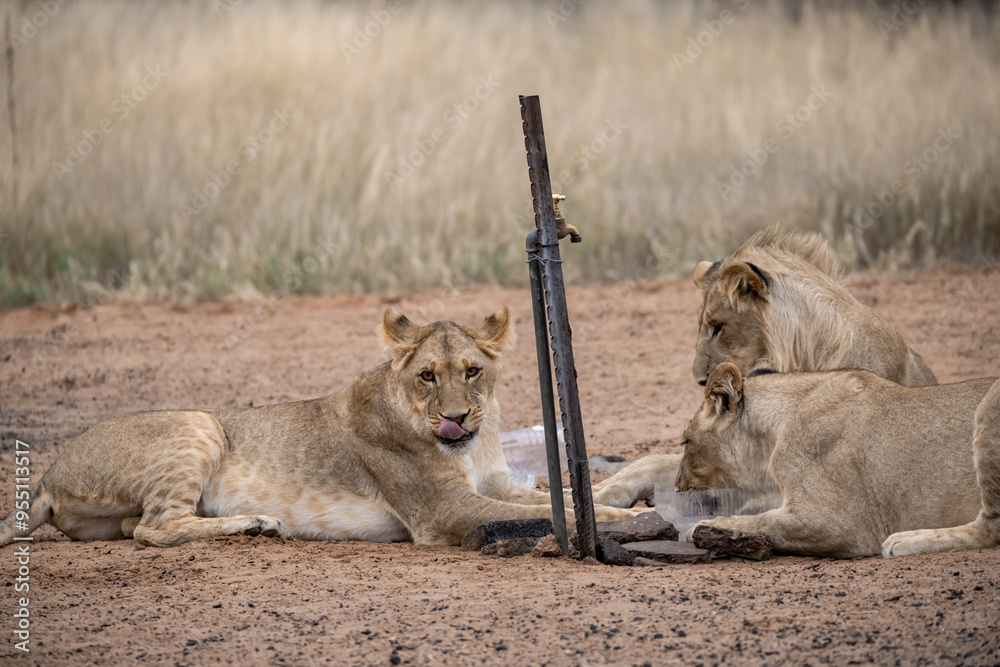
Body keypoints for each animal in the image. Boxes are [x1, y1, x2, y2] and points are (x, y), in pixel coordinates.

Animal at [0, 307, 641, 549]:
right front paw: (635, 518)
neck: (473, 445)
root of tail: (47, 475)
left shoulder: (496, 484)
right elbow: (548, 514)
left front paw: (618, 503)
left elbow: (557, 496)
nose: (456, 418)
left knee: (136, 524)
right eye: (427, 376)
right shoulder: (443, 512)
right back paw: (256, 523)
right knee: (152, 528)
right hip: (198, 422)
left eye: (472, 371)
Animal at [675, 362, 1000, 559]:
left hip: (989, 408)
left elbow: (762, 521)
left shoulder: (841, 523)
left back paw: (906, 540)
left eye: (685, 442)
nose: (677, 487)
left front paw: (701, 526)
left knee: (990, 529)